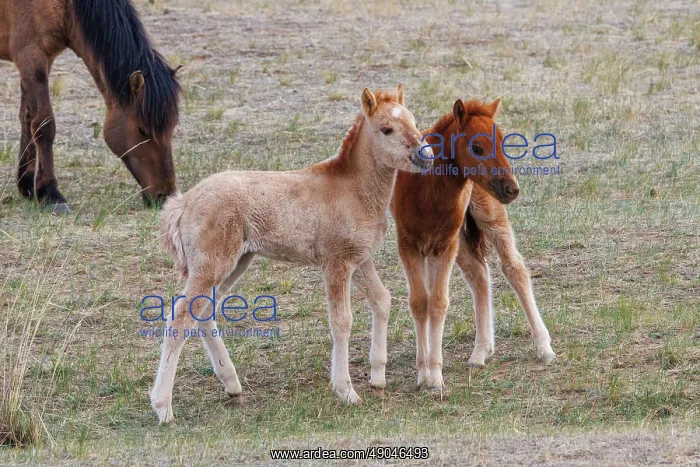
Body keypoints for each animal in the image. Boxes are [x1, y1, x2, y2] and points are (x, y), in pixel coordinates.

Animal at [0, 0, 181, 214]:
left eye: (172, 128)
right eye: (142, 131)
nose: (166, 196)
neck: (66, 7)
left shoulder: (43, 62)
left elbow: (28, 120)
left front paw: (27, 184)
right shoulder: (31, 57)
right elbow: (44, 126)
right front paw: (50, 193)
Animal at [151, 85, 432, 424]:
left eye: (414, 121)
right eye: (386, 129)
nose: (425, 155)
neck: (353, 189)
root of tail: (184, 203)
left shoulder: (361, 258)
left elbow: (382, 300)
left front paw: (378, 376)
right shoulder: (336, 262)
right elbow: (342, 321)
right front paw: (346, 391)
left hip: (235, 262)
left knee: (203, 312)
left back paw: (231, 384)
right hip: (212, 264)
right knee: (180, 318)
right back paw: (163, 407)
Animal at [391, 98, 553, 390]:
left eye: (503, 143)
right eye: (477, 148)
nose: (512, 189)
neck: (425, 191)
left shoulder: (444, 245)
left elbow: (438, 302)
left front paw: (435, 376)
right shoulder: (409, 246)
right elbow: (421, 302)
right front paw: (423, 373)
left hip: (487, 216)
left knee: (514, 268)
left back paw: (544, 346)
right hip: (460, 240)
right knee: (479, 274)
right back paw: (481, 351)